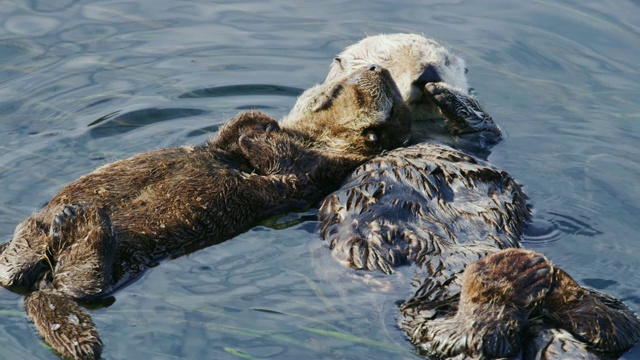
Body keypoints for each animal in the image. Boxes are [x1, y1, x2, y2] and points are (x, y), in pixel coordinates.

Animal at [0, 64, 410, 360]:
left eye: (392, 100)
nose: (376, 67)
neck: (313, 138)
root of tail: (41, 281)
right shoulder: (235, 146)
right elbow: (231, 133)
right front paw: (259, 120)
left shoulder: (315, 172)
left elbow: (283, 161)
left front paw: (261, 134)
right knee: (15, 273)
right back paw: (38, 230)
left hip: (119, 266)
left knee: (80, 285)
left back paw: (78, 220)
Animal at [286, 33, 640, 358]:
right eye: (387, 61)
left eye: (442, 61)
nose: (428, 74)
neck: (418, 132)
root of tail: (533, 319)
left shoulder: (477, 141)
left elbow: (483, 126)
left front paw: (447, 94)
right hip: (423, 310)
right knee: (475, 337)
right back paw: (507, 275)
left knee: (617, 326)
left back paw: (557, 284)